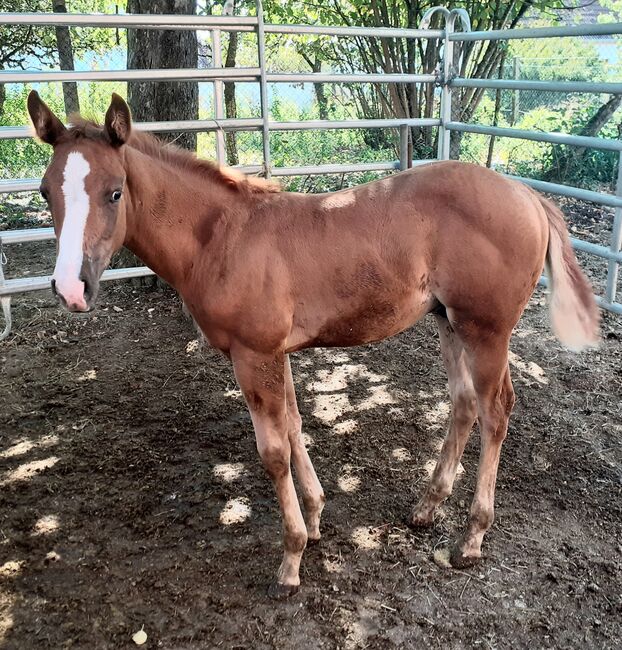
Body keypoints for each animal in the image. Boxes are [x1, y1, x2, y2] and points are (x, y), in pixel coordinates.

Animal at [28, 92, 600, 596]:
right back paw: (425, 508)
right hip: (449, 322)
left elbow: (274, 452)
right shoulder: (274, 353)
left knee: (496, 410)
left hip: (487, 330)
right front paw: (319, 515)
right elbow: (296, 424)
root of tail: (527, 195)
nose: (71, 288)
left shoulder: (253, 354)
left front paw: (291, 559)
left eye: (114, 191)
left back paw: (472, 537)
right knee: (463, 404)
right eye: (45, 192)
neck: (221, 238)